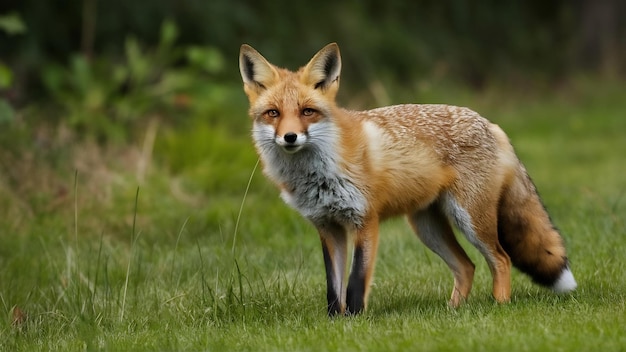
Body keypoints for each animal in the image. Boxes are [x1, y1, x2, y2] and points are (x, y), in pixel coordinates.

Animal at [238, 42, 576, 314]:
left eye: (307, 111)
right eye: (273, 113)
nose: (290, 137)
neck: (319, 173)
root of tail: (490, 123)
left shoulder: (365, 221)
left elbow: (355, 283)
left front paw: (354, 322)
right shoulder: (328, 227)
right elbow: (333, 289)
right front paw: (334, 323)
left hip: (471, 220)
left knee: (501, 259)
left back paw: (500, 305)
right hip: (426, 227)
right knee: (467, 266)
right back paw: (454, 311)